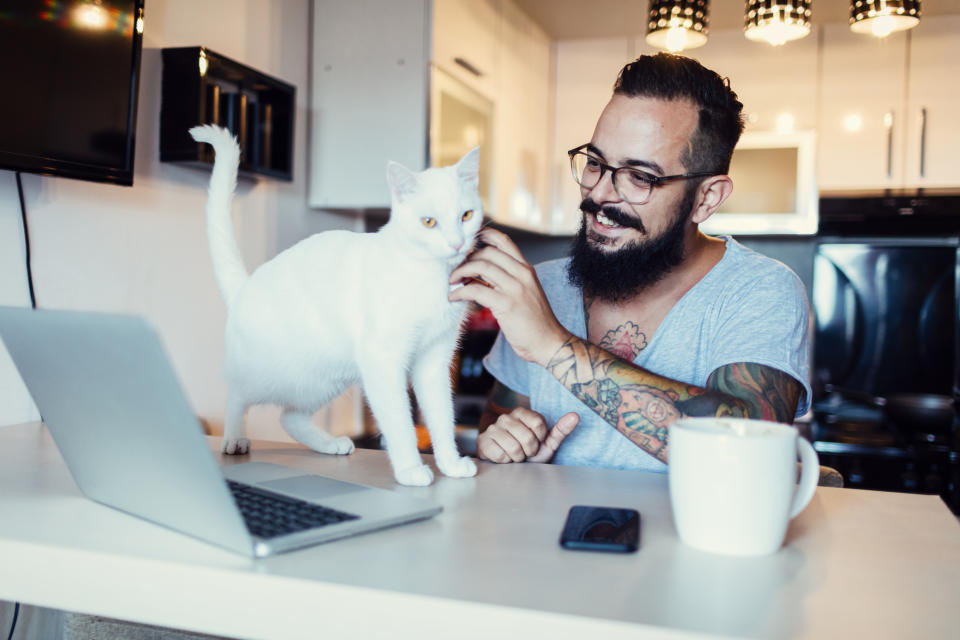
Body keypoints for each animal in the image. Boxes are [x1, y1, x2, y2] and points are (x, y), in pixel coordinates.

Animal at [189, 124, 480, 484]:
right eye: (429, 222)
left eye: (466, 216)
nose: (456, 243)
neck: (430, 277)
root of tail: (246, 285)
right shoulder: (383, 361)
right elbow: (400, 422)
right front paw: (411, 470)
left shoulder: (433, 362)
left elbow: (442, 418)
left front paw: (451, 464)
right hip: (269, 373)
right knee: (237, 394)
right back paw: (234, 438)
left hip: (325, 377)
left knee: (290, 417)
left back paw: (330, 444)